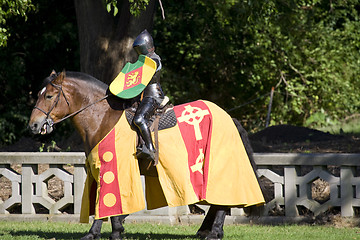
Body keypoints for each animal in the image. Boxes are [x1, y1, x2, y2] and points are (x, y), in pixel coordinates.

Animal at [28, 70, 264, 239]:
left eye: (49, 95)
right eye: (38, 95)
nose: (33, 126)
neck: (103, 118)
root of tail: (230, 118)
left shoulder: (111, 166)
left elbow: (106, 200)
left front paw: (102, 233)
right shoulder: (102, 169)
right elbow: (109, 200)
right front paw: (111, 231)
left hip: (217, 163)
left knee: (221, 198)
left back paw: (214, 232)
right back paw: (206, 230)